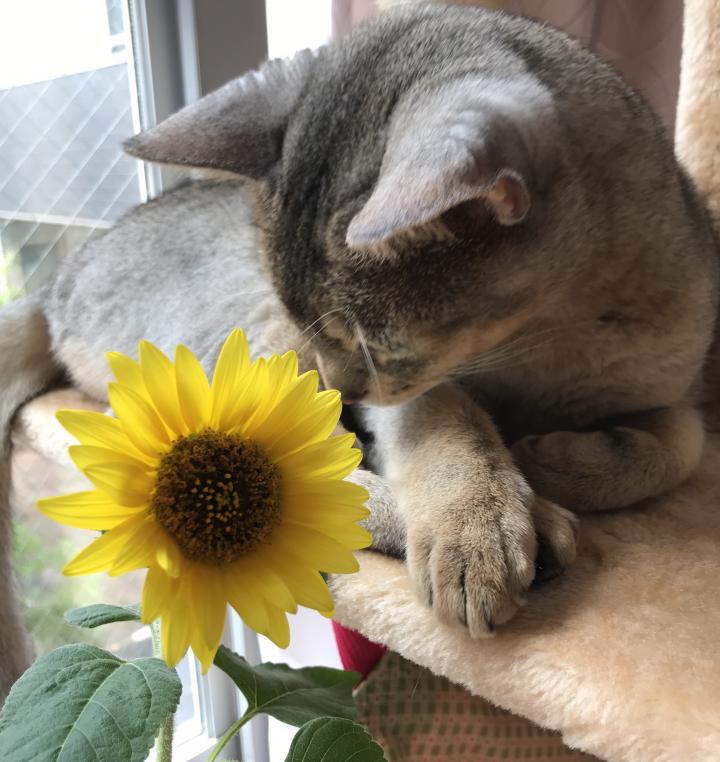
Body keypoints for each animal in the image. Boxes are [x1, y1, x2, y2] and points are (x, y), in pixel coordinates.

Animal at [1, 3, 717, 701]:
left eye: (372, 344)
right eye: (339, 337)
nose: (342, 388)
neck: (548, 343)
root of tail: (57, 282)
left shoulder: (666, 382)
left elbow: (683, 445)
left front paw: (562, 457)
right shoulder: (412, 387)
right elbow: (452, 425)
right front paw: (477, 522)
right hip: (255, 346)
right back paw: (525, 529)